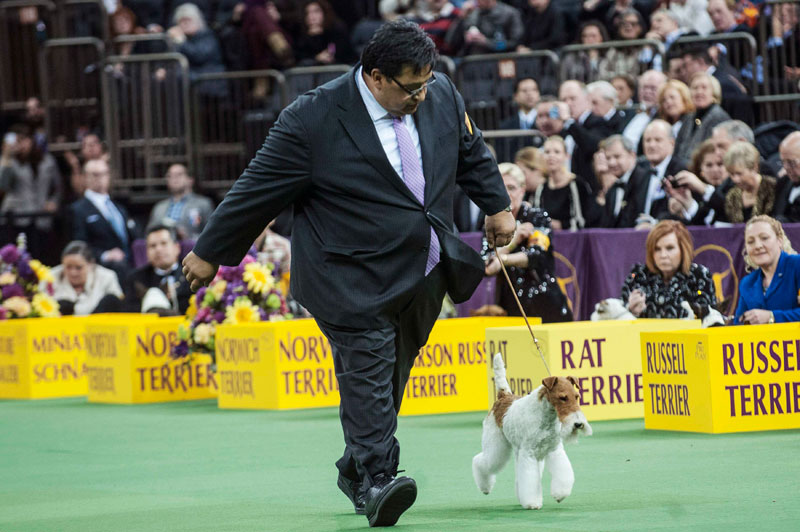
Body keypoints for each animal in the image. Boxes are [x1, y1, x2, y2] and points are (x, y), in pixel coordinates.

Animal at [472, 356, 592, 510]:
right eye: (562, 397)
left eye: (576, 396)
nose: (578, 424)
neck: (546, 416)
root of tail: (503, 396)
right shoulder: (528, 453)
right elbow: (529, 480)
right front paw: (532, 502)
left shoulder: (554, 450)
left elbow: (563, 473)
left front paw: (560, 494)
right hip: (496, 447)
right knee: (480, 461)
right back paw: (485, 488)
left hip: (522, 451)